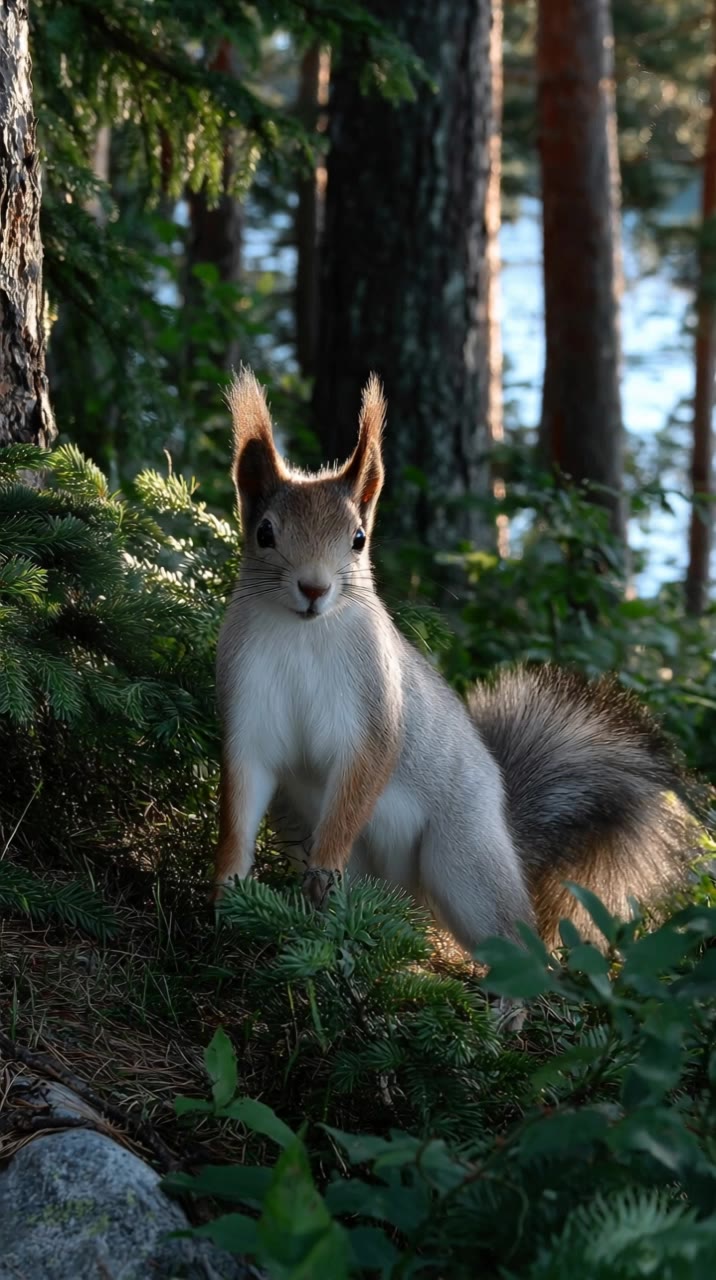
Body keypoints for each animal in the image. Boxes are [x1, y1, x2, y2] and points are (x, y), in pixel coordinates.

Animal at [215, 367, 695, 950]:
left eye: (358, 538)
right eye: (265, 532)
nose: (313, 588)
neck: (302, 635)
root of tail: (504, 830)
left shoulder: (375, 710)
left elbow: (359, 786)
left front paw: (322, 865)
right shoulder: (248, 708)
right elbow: (239, 804)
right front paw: (226, 889)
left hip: (464, 860)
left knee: (517, 947)